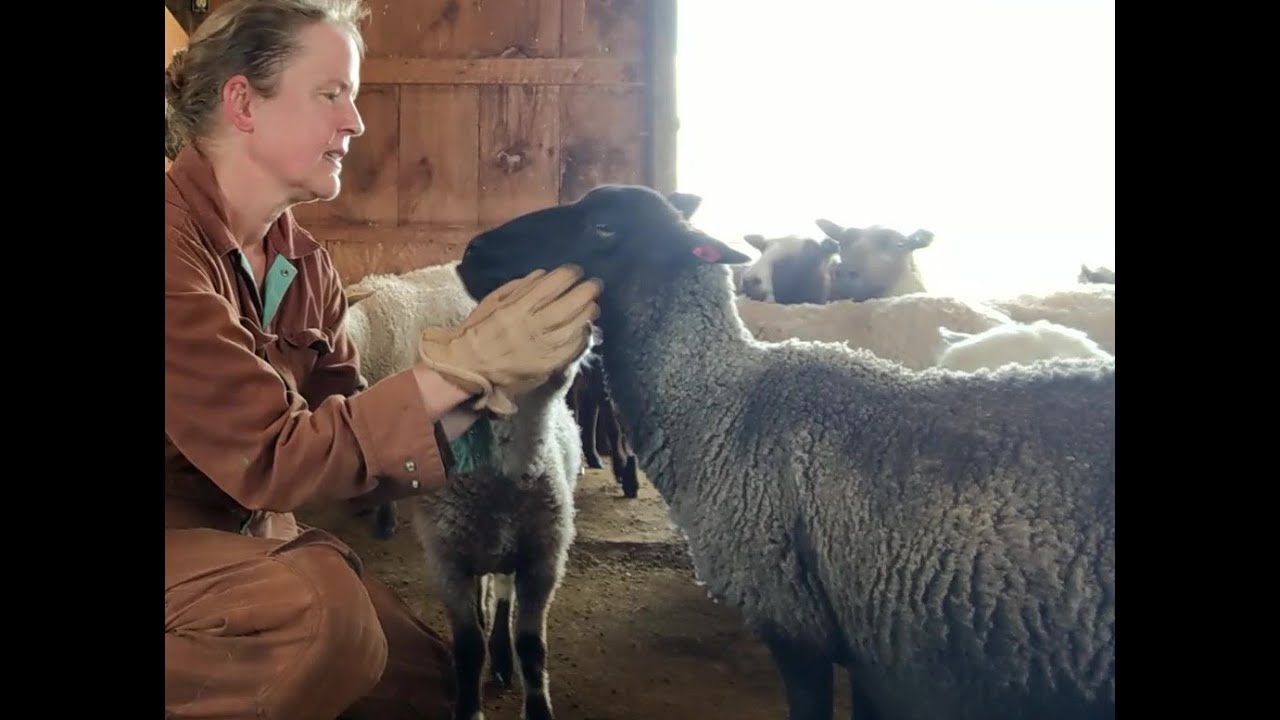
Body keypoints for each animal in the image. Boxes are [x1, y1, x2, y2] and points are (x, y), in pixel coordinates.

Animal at [341, 262, 584, 720]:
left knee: (503, 594)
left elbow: (532, 646)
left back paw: (502, 653)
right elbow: (468, 646)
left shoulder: (543, 560)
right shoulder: (448, 564)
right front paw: (469, 706)